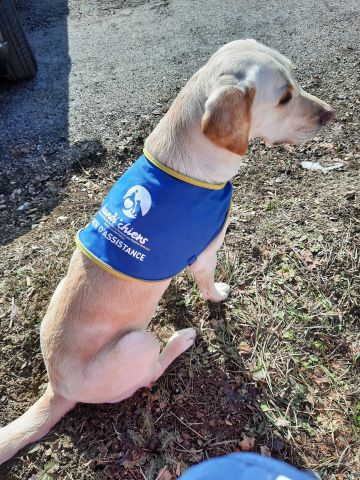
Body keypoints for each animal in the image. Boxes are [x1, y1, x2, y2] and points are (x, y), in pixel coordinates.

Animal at [0, 39, 334, 464]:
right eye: (284, 97)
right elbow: (208, 286)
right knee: (151, 374)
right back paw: (181, 340)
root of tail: (57, 389)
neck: (188, 159)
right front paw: (216, 297)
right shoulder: (207, 252)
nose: (330, 114)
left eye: (295, 78)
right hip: (139, 344)